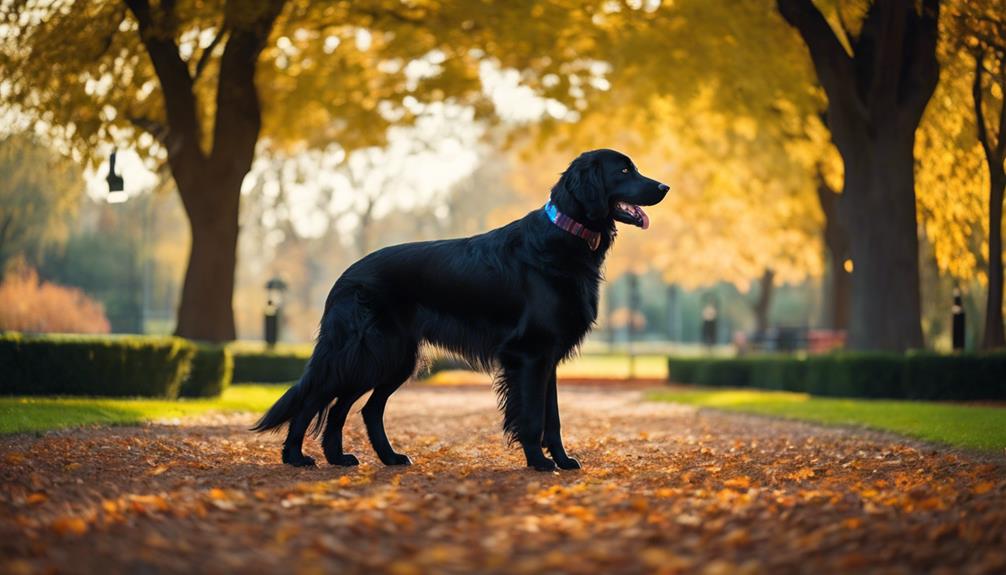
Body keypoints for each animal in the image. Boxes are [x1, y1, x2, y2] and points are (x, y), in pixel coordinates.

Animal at [251, 147, 667, 472]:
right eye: (623, 170)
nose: (665, 187)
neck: (564, 234)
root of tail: (344, 278)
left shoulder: (547, 357)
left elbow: (553, 419)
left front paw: (562, 461)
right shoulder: (529, 354)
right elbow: (533, 416)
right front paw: (539, 462)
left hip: (392, 358)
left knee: (357, 408)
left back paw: (362, 457)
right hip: (367, 354)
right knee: (315, 397)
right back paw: (295, 456)